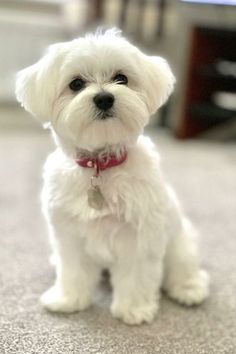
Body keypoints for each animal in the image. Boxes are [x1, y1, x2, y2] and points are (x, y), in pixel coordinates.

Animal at [15, 29, 209, 324]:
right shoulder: (69, 234)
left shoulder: (139, 236)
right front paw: (68, 300)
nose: (104, 98)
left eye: (122, 78)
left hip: (179, 242)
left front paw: (134, 309)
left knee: (183, 267)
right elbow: (73, 271)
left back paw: (189, 289)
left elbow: (136, 276)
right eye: (76, 84)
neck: (101, 165)